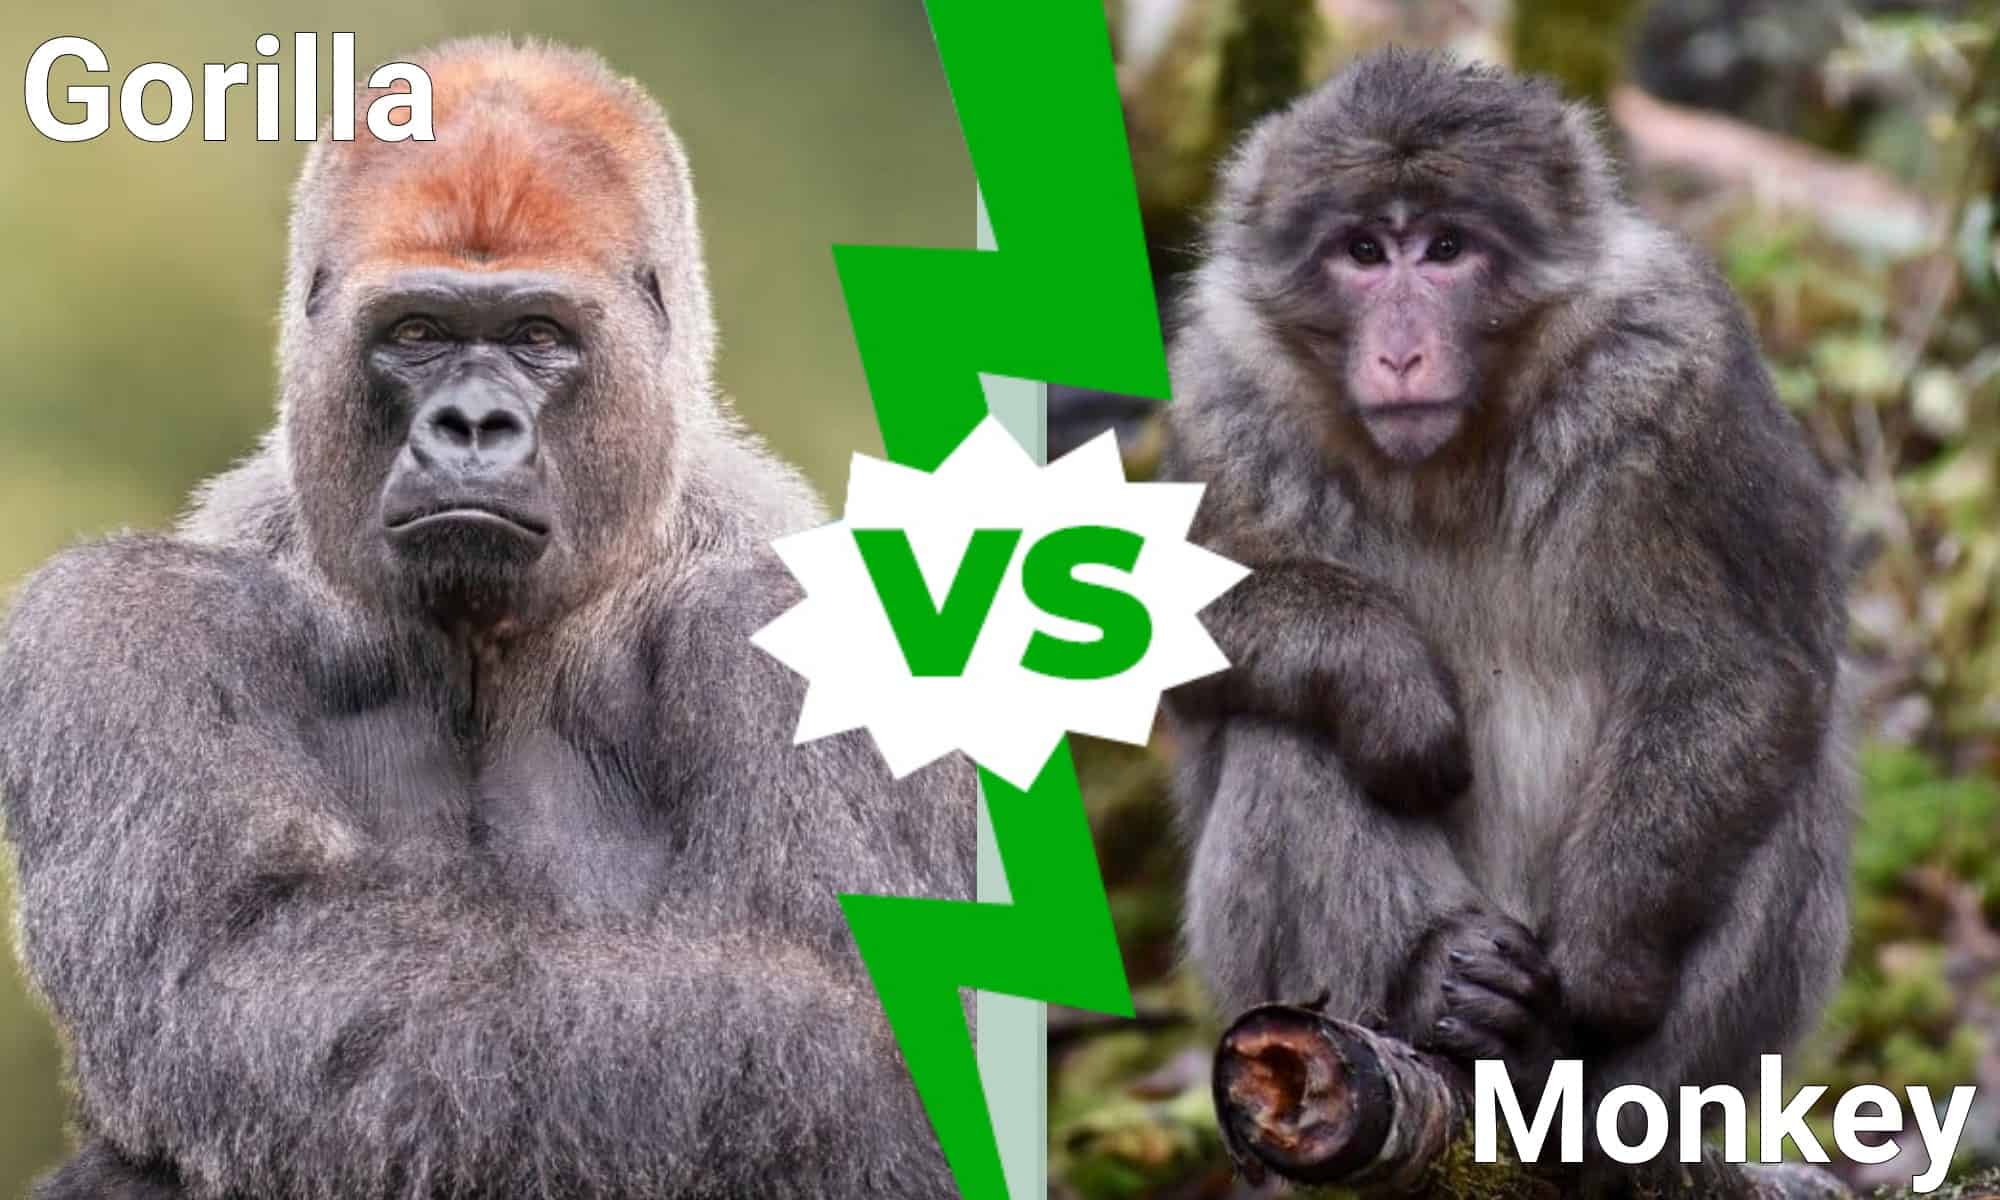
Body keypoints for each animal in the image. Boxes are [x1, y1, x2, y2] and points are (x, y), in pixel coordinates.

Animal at [0, 38, 970, 1200]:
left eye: (537, 336)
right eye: (416, 334)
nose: (471, 423)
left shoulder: (822, 608)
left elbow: (853, 1002)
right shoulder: (121, 621)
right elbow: (235, 957)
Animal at [1157, 48, 1852, 1151]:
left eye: (1445, 249)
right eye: (1363, 251)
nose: (1401, 352)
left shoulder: (1676, 372)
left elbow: (1739, 667)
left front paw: (1603, 966)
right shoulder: (1221, 396)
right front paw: (1383, 674)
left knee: (1787, 767)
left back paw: (1550, 1058)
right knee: (1286, 735)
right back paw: (1442, 982)